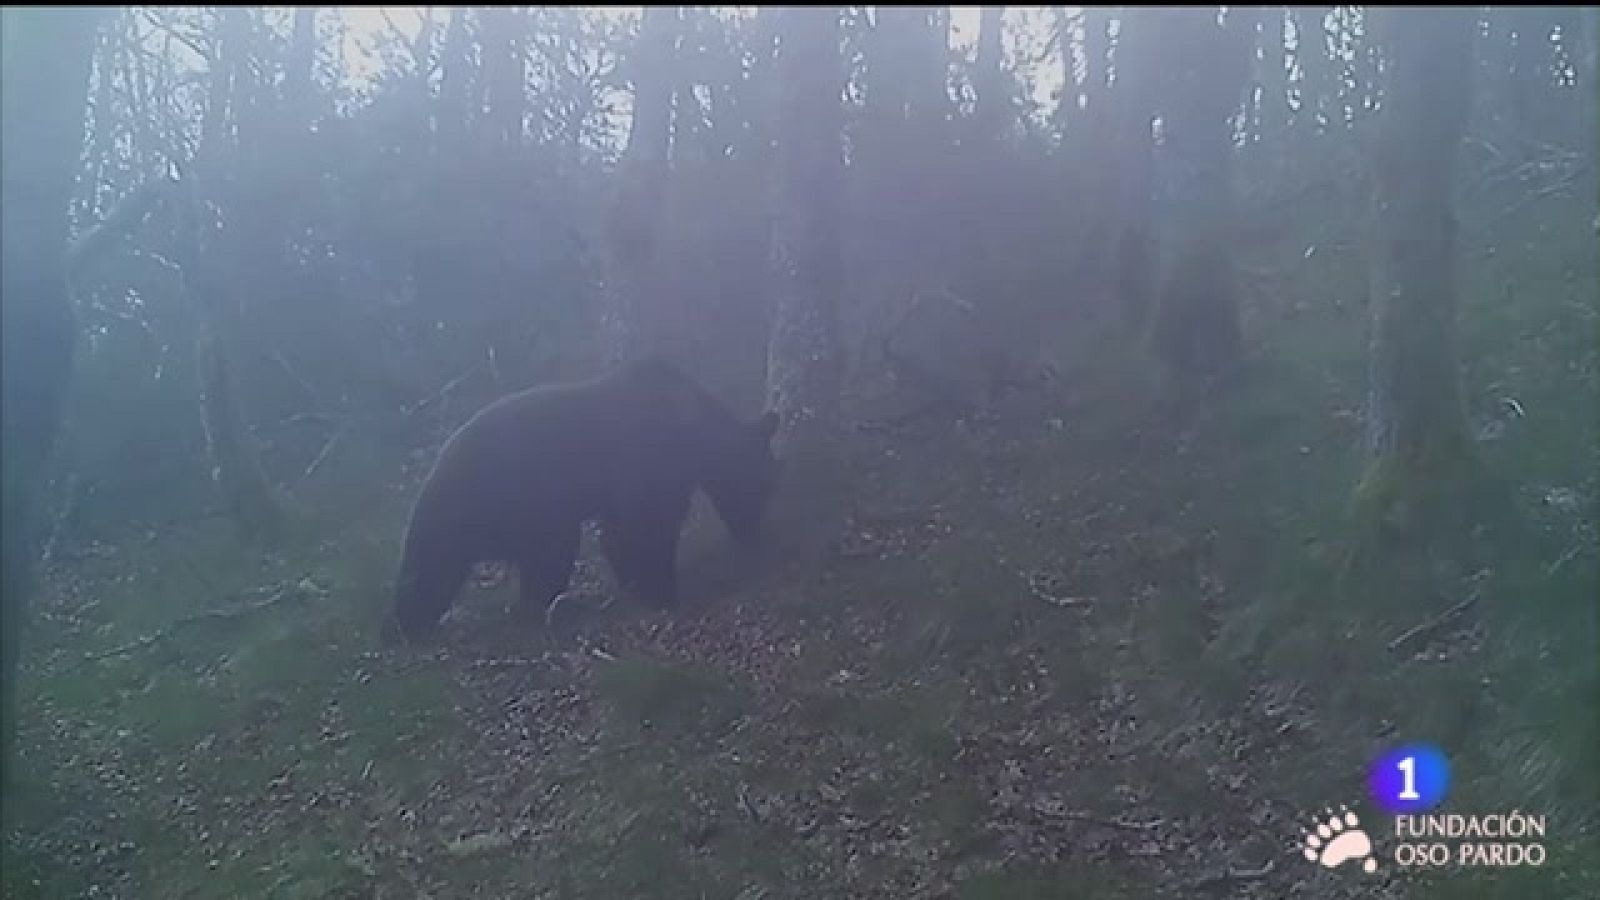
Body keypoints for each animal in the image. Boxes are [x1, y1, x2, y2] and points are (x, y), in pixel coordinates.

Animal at [390, 358, 781, 642]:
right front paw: (661, 591)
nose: (754, 534)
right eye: (764, 486)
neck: (694, 432)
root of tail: (438, 460)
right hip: (498, 498)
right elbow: (641, 528)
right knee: (439, 562)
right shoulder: (645, 459)